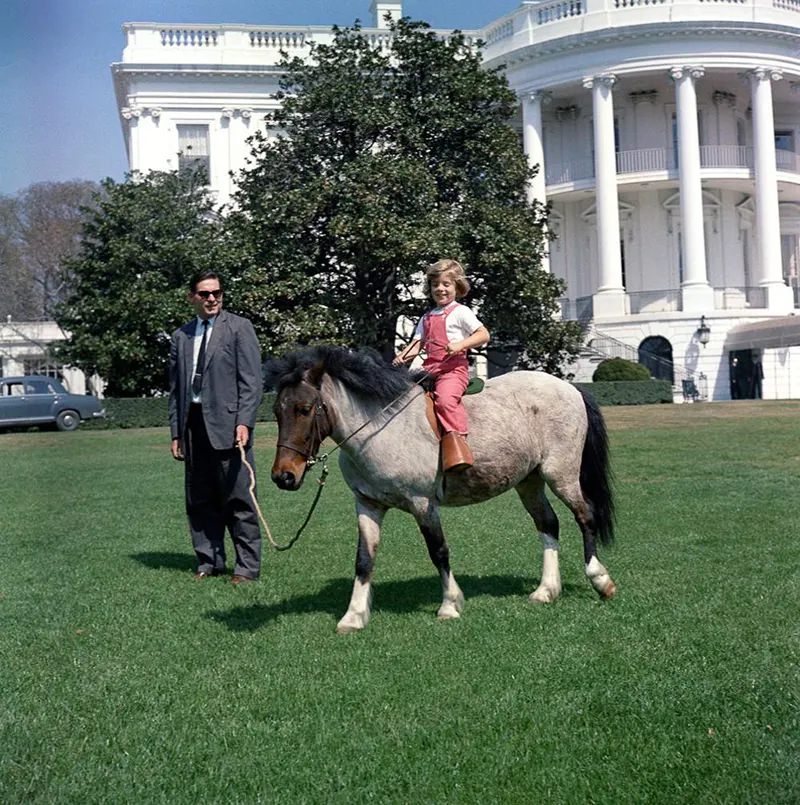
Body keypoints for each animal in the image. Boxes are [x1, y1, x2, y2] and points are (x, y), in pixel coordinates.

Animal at [268, 348, 620, 636]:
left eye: (305, 408)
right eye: (276, 410)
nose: (284, 476)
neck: (380, 428)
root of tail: (570, 388)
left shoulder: (422, 504)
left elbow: (438, 551)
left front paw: (450, 604)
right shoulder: (368, 504)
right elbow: (364, 560)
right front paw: (353, 616)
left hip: (560, 475)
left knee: (585, 516)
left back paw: (600, 579)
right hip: (529, 481)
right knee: (548, 524)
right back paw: (546, 590)